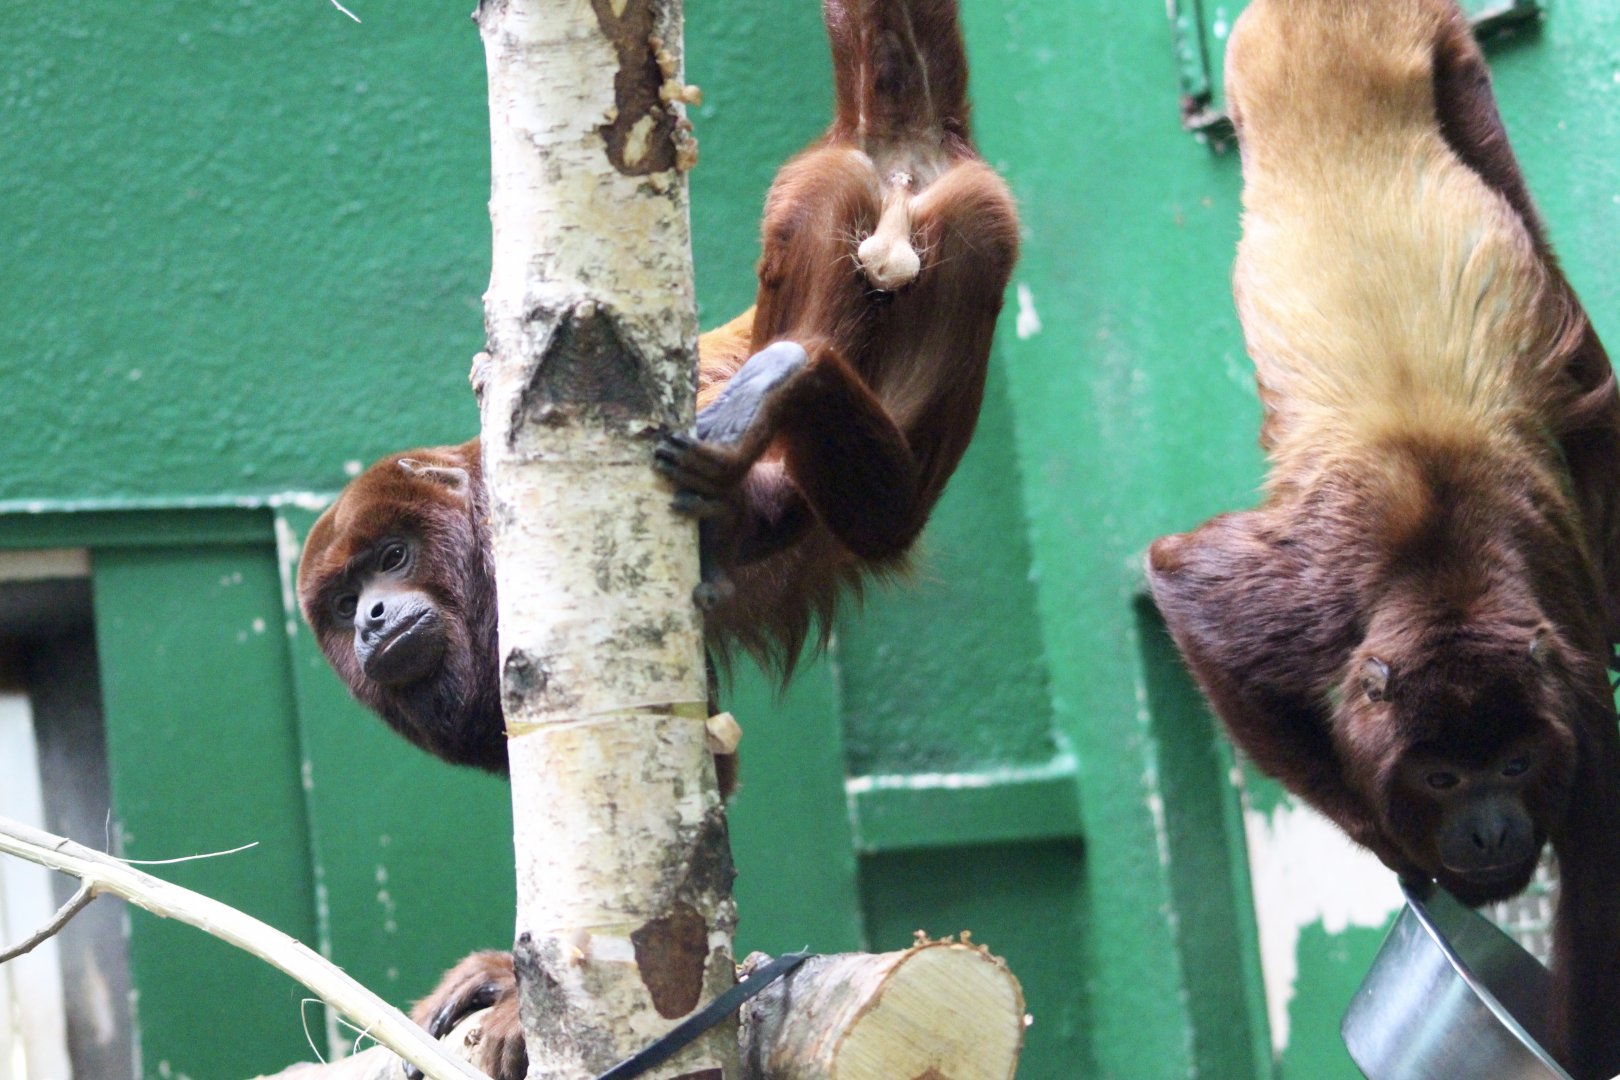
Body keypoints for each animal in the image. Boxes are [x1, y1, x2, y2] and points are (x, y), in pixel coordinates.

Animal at [296, 1, 1018, 1074]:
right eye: (345, 602)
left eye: (391, 558)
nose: (378, 618)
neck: (475, 545)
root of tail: (893, 146)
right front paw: (495, 977)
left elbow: (711, 772)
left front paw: (521, 1001)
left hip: (929, 264)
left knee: (866, 503)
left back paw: (780, 391)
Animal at [1144, 1, 1620, 1074]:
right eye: (1443, 776)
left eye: (1515, 766)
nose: (1486, 832)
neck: (1444, 580)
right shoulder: (1302, 600)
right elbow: (1181, 585)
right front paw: (1389, 839)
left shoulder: (1572, 693)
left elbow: (1600, 903)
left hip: (1456, 65)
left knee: (1579, 368)